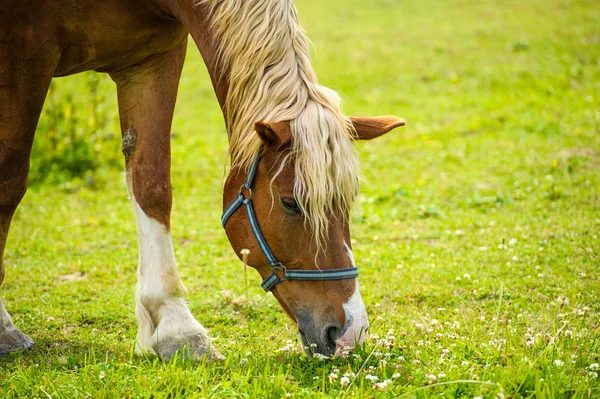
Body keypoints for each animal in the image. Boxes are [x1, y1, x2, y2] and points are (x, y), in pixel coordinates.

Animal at [0, 0, 406, 360]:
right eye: (290, 202)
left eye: (348, 202)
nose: (350, 331)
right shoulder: (24, 53)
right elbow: (10, 180)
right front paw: (5, 331)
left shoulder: (152, 59)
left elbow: (151, 182)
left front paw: (175, 328)